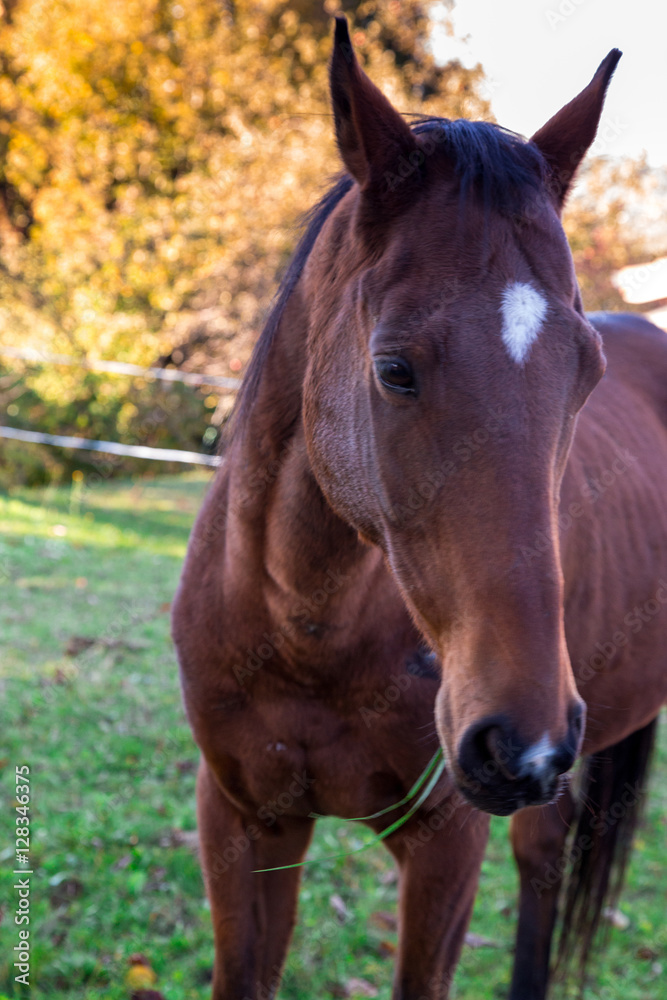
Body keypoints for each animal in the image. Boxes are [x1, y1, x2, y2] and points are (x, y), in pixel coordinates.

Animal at [172, 16, 667, 1000]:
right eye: (393, 368)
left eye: (585, 372)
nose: (521, 742)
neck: (302, 629)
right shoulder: (241, 824)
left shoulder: (444, 848)